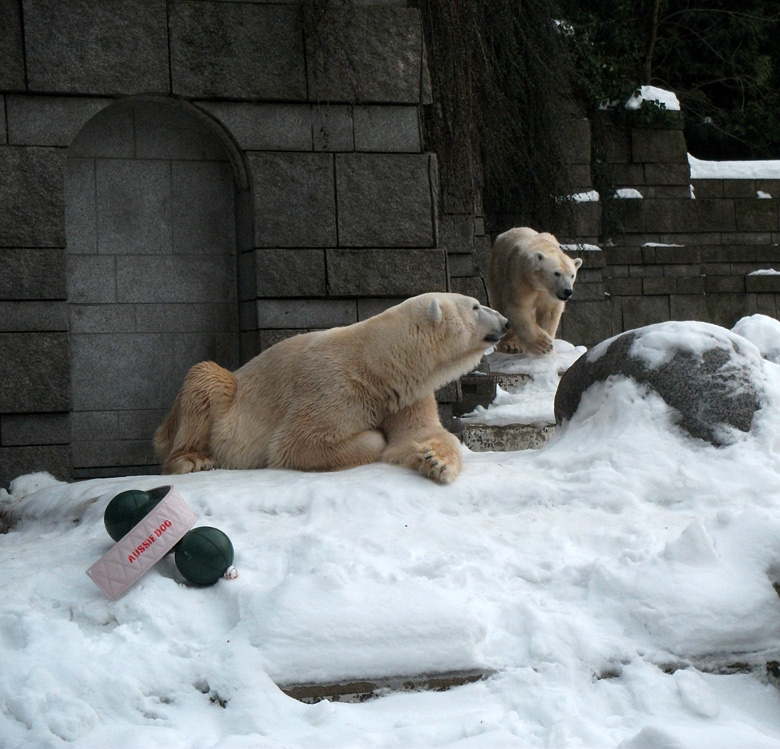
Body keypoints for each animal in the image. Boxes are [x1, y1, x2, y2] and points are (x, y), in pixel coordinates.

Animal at [155, 292, 508, 486]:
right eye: (476, 306)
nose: (505, 322)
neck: (378, 363)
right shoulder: (335, 387)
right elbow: (298, 442)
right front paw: (375, 436)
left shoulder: (404, 394)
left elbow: (421, 432)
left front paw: (435, 461)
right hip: (225, 394)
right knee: (206, 379)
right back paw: (192, 460)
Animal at [488, 226, 580, 356]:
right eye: (557, 273)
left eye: (572, 275)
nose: (567, 291)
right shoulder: (521, 278)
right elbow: (518, 308)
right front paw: (544, 345)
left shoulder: (549, 295)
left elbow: (550, 313)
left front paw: (550, 350)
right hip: (496, 274)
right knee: (499, 305)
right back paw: (510, 347)